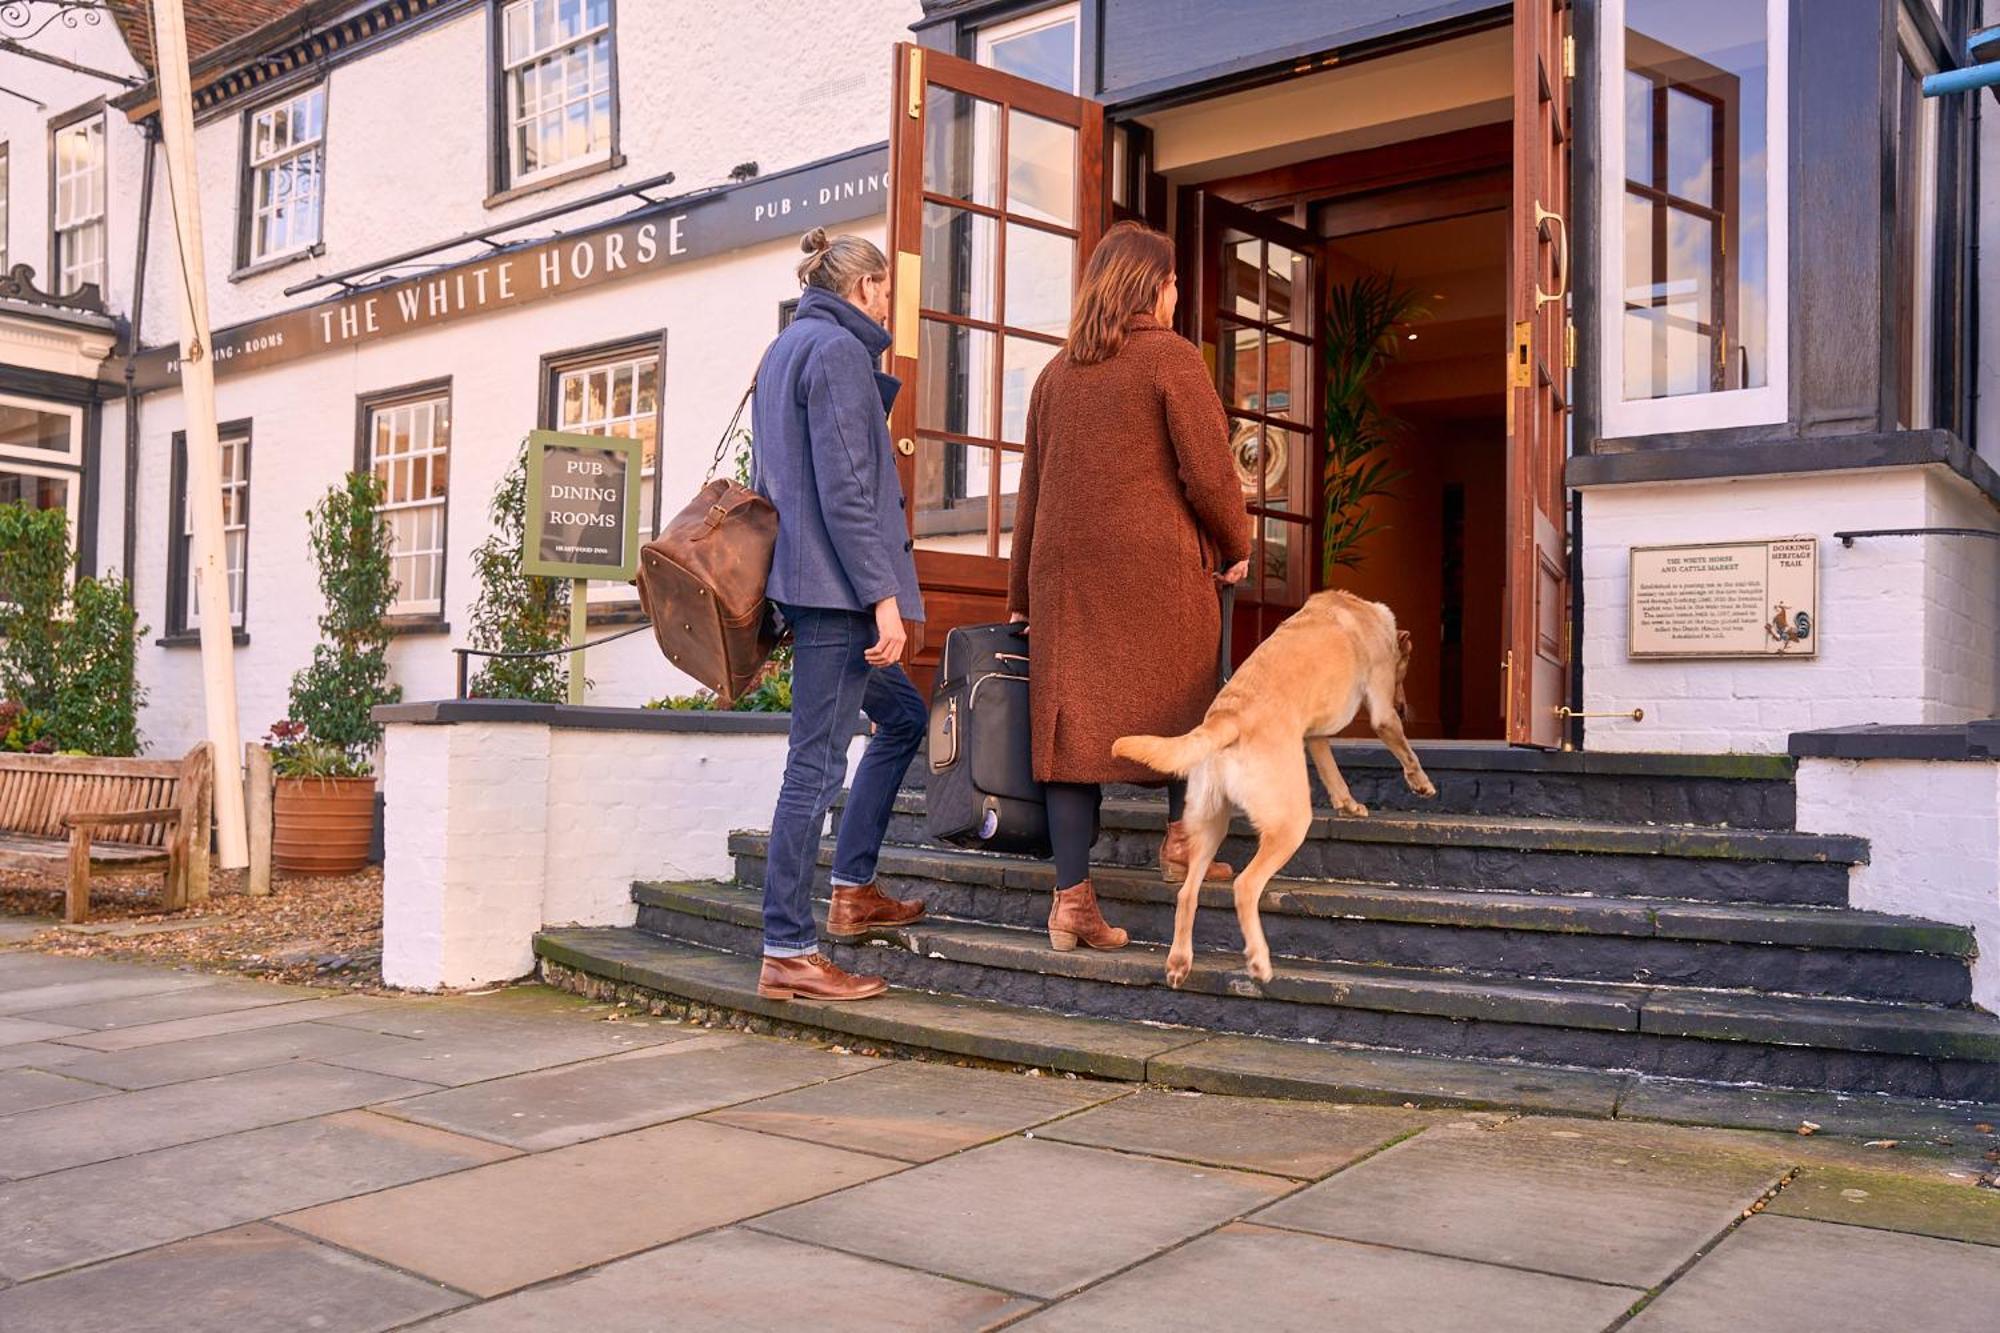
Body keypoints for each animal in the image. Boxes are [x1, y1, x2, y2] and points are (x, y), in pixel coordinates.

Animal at [1112, 592, 1440, 984]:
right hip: (1289, 824)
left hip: (1209, 823)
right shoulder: (1382, 710)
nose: (1404, 707)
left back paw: (1179, 962)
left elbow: (1332, 772)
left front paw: (1348, 803)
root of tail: (1228, 717)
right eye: (1403, 671)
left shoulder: (1315, 737)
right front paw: (1421, 784)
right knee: (1245, 886)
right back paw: (1259, 961)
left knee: (1187, 894)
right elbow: (1404, 749)